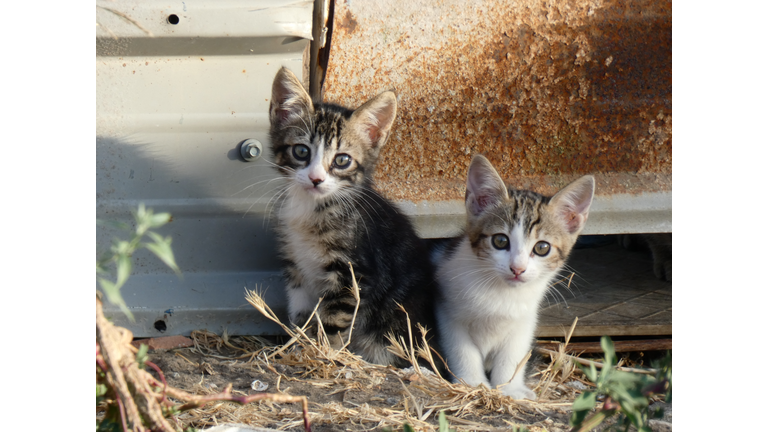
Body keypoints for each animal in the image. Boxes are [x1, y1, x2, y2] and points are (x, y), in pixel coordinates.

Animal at [432, 154, 592, 400]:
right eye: (500, 240)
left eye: (542, 247)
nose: (517, 268)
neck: (501, 293)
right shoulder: (448, 313)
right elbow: (462, 350)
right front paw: (473, 383)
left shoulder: (524, 321)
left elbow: (512, 355)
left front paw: (510, 388)